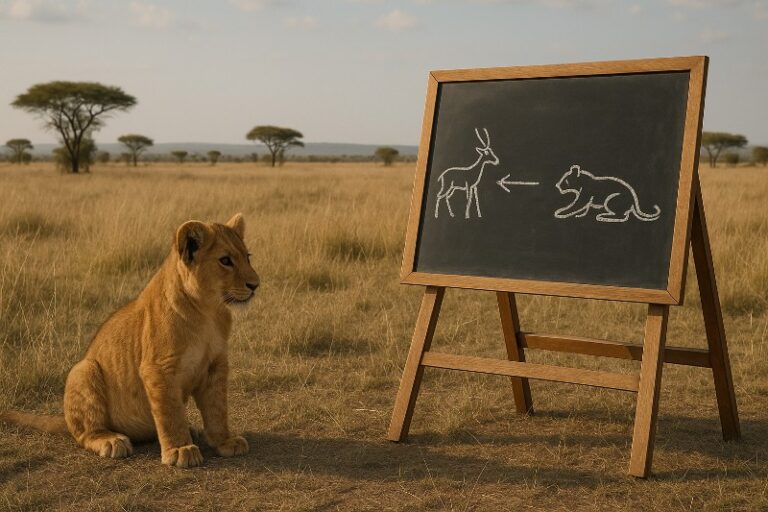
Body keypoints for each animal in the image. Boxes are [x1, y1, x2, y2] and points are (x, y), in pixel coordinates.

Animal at [1, 213, 259, 468]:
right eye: (225, 260)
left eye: (247, 257)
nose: (255, 285)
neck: (208, 310)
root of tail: (64, 420)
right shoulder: (158, 368)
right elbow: (170, 412)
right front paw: (179, 449)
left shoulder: (216, 364)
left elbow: (217, 408)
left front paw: (225, 441)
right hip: (84, 368)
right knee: (86, 433)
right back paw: (112, 440)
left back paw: (192, 430)